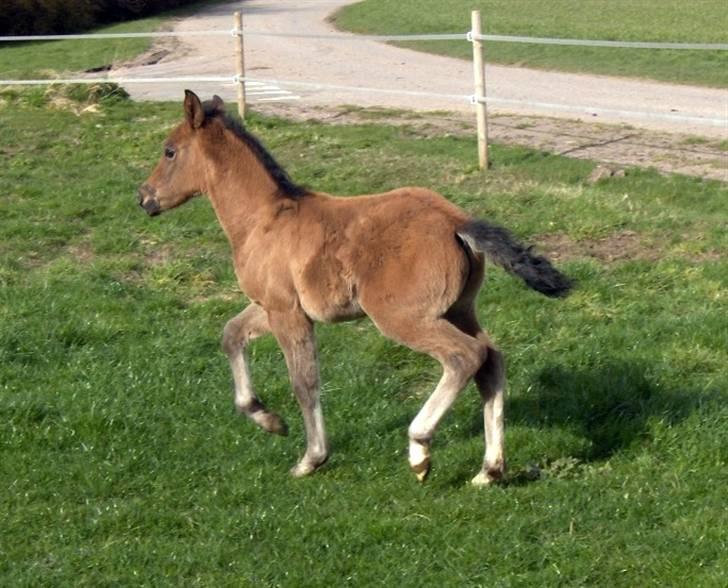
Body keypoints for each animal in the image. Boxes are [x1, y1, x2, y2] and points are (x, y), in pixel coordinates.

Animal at [135, 92, 568, 484]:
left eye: (170, 151)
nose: (144, 198)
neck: (264, 219)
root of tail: (456, 221)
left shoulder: (286, 312)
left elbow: (304, 382)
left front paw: (311, 458)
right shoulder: (269, 305)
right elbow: (231, 336)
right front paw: (268, 419)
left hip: (402, 316)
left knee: (466, 356)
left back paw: (419, 448)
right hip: (459, 308)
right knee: (491, 361)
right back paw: (489, 470)